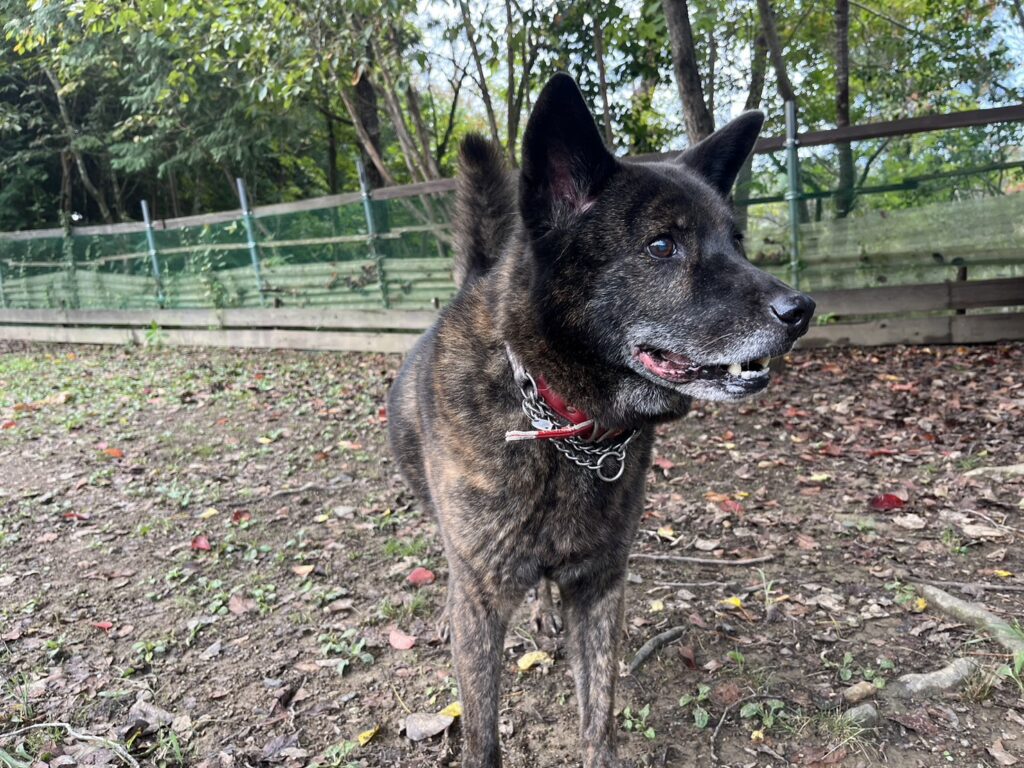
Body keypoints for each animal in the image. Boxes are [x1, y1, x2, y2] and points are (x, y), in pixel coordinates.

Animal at [387, 73, 814, 768]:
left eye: (737, 242)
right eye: (663, 246)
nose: (801, 310)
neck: (562, 425)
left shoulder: (600, 588)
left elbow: (598, 717)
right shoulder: (484, 599)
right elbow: (482, 733)